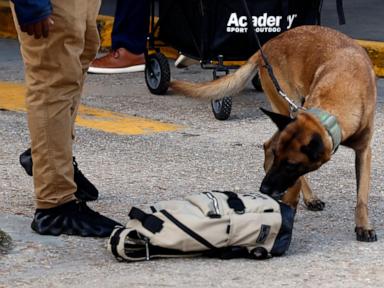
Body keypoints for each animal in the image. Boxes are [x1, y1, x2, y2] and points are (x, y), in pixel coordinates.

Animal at [172, 25, 378, 242]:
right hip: (287, 106)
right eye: (280, 159)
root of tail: (269, 44)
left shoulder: (364, 151)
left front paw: (363, 226)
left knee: (268, 143)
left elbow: (362, 196)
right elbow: (294, 186)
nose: (264, 189)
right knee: (269, 144)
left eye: (290, 165)